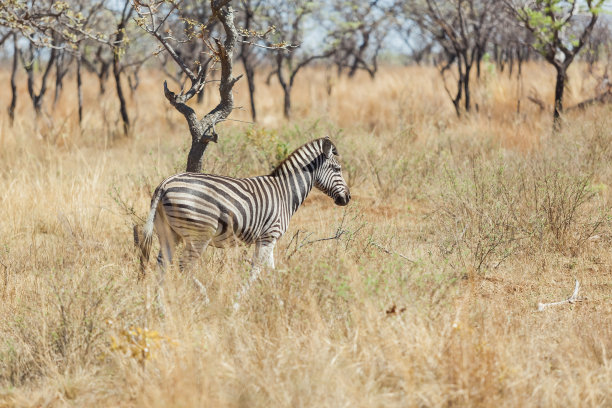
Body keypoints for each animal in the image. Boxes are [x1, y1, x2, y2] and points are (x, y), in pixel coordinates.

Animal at [136, 137, 352, 306]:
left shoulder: (266, 239)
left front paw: (277, 298)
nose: (348, 198)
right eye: (337, 168)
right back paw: (204, 298)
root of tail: (164, 184)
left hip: (168, 232)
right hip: (200, 234)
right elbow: (256, 270)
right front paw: (238, 301)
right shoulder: (268, 236)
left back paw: (159, 305)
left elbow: (270, 270)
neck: (285, 193)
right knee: (184, 265)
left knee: (163, 263)